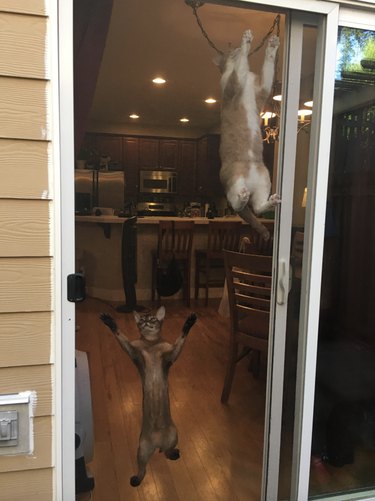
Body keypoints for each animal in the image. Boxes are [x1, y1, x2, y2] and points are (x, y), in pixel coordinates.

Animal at [100, 306, 200, 486]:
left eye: (152, 319)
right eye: (141, 320)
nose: (146, 322)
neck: (151, 343)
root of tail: (158, 443)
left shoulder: (171, 356)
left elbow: (182, 336)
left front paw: (190, 322)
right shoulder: (133, 352)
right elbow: (120, 334)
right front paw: (109, 321)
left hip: (174, 436)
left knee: (167, 452)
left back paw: (174, 454)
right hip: (141, 450)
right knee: (143, 469)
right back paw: (135, 480)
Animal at [216, 29, 280, 240]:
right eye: (230, 51)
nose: (234, 47)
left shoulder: (263, 89)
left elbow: (268, 66)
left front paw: (272, 45)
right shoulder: (233, 84)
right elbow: (239, 69)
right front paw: (246, 42)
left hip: (265, 179)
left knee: (258, 208)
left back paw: (271, 201)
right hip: (234, 180)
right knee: (238, 205)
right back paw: (242, 199)